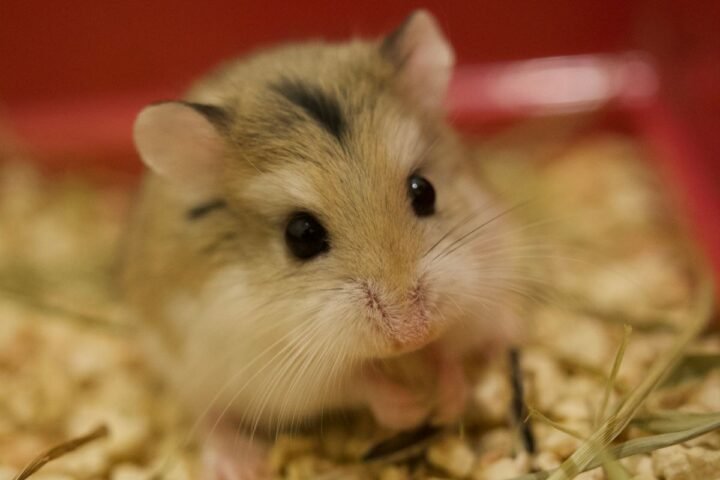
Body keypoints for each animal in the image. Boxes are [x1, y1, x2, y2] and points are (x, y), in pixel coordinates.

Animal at [121, 10, 523, 439]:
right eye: (301, 235)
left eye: (424, 191)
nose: (412, 333)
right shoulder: (281, 368)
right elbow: (357, 383)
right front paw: (412, 410)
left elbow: (449, 353)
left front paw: (447, 403)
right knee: (209, 416)